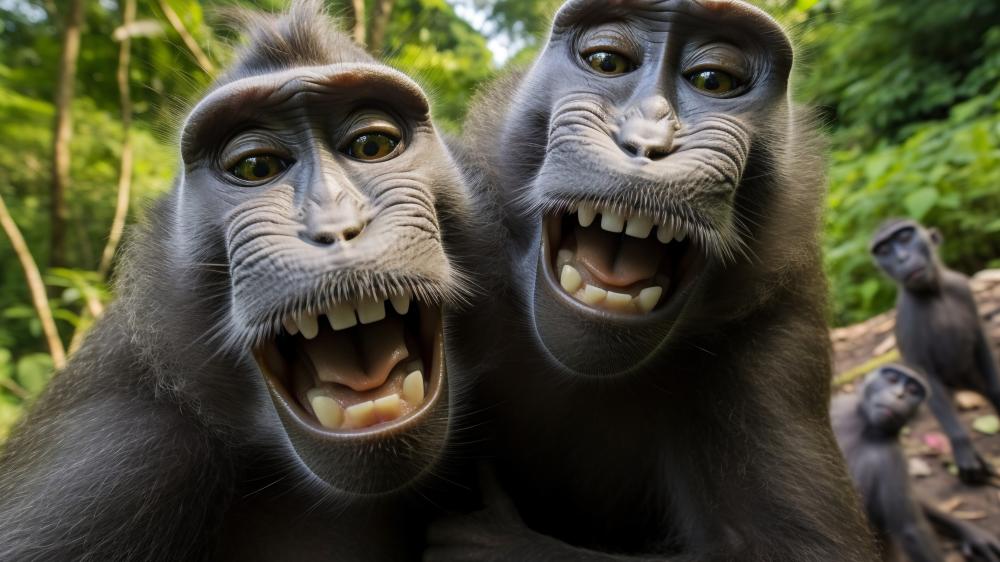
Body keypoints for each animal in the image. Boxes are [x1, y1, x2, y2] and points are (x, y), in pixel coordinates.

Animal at [427, 0, 879, 560]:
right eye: (606, 61)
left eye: (714, 79)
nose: (646, 142)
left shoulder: (780, 335)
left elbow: (799, 547)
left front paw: (501, 546)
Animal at [833, 364, 1000, 562]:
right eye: (892, 380)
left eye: (912, 390)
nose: (899, 395)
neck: (865, 428)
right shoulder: (839, 406)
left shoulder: (891, 457)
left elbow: (910, 530)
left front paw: (968, 531)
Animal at [871, 218, 1000, 485]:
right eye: (884, 250)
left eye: (905, 237)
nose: (902, 257)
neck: (934, 291)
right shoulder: (908, 317)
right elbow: (924, 376)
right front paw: (963, 447)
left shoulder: (962, 286)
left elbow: (981, 343)